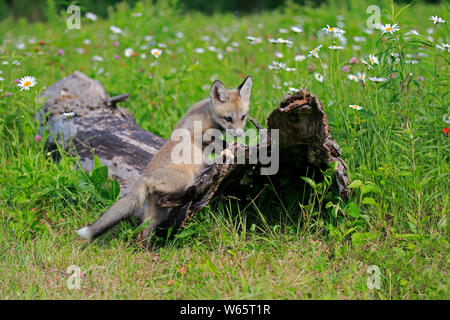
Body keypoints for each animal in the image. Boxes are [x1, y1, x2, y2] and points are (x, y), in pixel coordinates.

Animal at [75, 76, 251, 246]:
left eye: (243, 117)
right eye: (228, 118)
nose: (240, 134)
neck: (208, 114)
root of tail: (143, 178)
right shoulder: (200, 134)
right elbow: (220, 143)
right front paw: (229, 152)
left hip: (156, 215)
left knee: (143, 234)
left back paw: (147, 250)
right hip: (184, 179)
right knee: (163, 201)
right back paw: (188, 197)